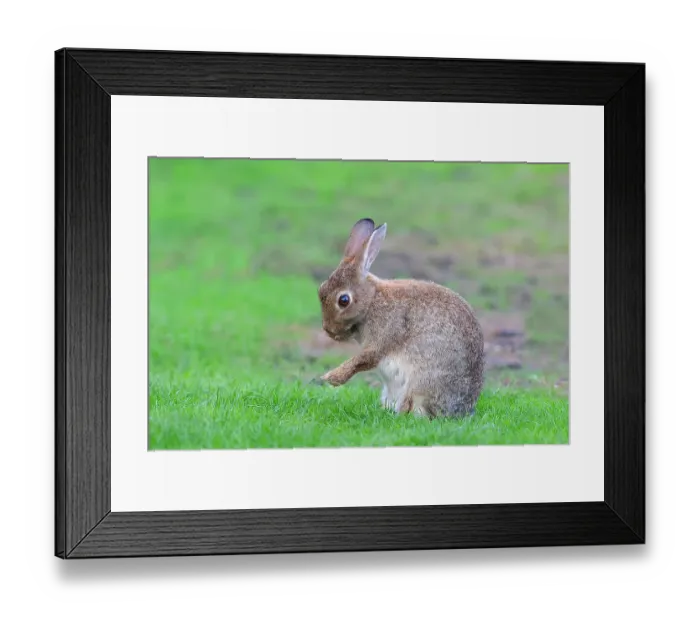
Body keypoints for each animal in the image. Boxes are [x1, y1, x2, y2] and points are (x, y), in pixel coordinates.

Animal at [317, 218, 484, 418]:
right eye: (321, 289)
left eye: (343, 300)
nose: (328, 331)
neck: (371, 301)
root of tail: (461, 409)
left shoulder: (385, 335)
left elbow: (364, 359)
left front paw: (331, 378)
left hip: (420, 385)